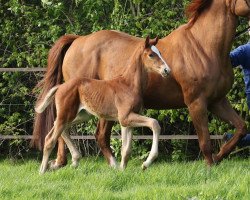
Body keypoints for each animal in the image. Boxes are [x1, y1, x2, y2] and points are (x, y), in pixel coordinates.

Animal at [35, 37, 170, 173]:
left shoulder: (127, 120)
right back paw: (42, 171)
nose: (167, 70)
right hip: (66, 114)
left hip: (81, 115)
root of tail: (60, 87)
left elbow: (126, 149)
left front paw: (122, 170)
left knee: (60, 129)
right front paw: (146, 163)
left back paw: (75, 159)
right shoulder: (126, 117)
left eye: (160, 52)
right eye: (151, 54)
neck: (129, 85)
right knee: (50, 139)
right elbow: (154, 123)